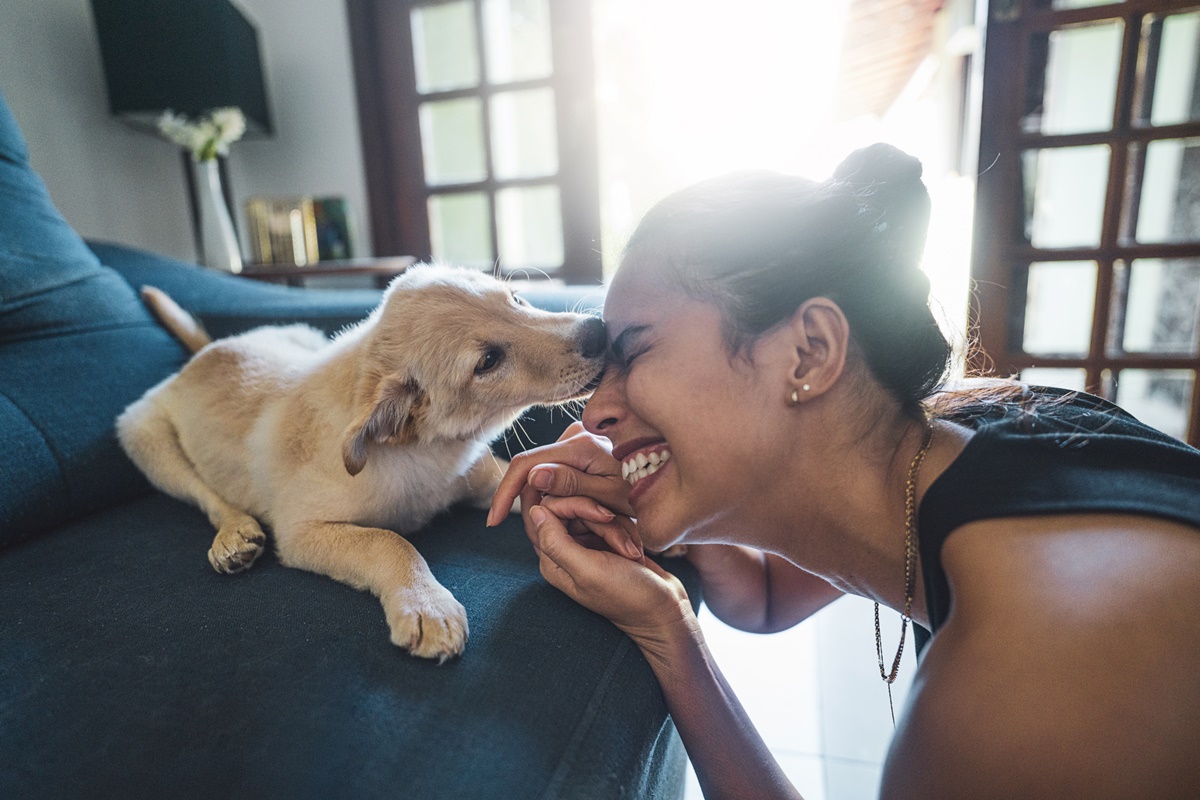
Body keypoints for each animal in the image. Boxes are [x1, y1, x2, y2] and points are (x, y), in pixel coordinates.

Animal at [119, 266, 609, 662]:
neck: (426, 451)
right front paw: (426, 605)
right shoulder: (300, 529)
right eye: (488, 361)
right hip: (143, 435)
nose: (599, 330)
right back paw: (233, 535)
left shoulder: (494, 483)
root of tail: (211, 348)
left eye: (516, 299)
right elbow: (388, 541)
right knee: (204, 493)